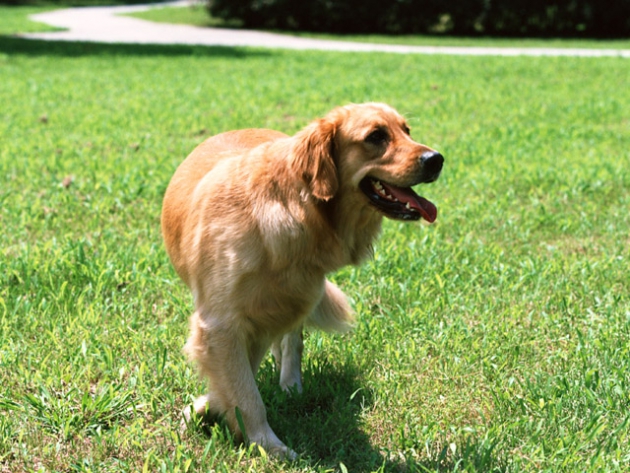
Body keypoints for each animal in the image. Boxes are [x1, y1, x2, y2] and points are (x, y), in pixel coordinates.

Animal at [164, 102, 450, 458]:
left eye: (407, 131)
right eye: (376, 136)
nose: (436, 159)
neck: (295, 208)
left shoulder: (250, 320)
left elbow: (244, 385)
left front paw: (241, 427)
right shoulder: (223, 323)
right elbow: (245, 391)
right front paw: (265, 442)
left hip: (296, 296)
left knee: (292, 340)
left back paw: (291, 383)